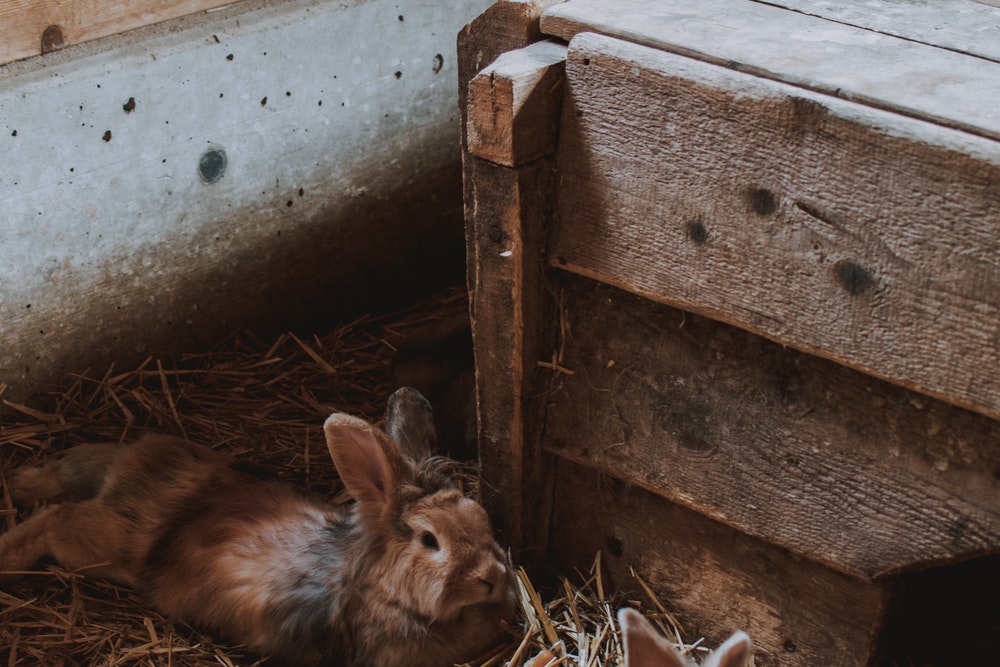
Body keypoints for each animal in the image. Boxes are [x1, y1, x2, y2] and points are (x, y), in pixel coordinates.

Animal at [0, 386, 517, 667]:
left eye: (481, 521)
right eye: (430, 540)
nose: (492, 578)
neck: (382, 591)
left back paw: (22, 482)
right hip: (102, 545)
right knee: (57, 518)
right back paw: (9, 553)